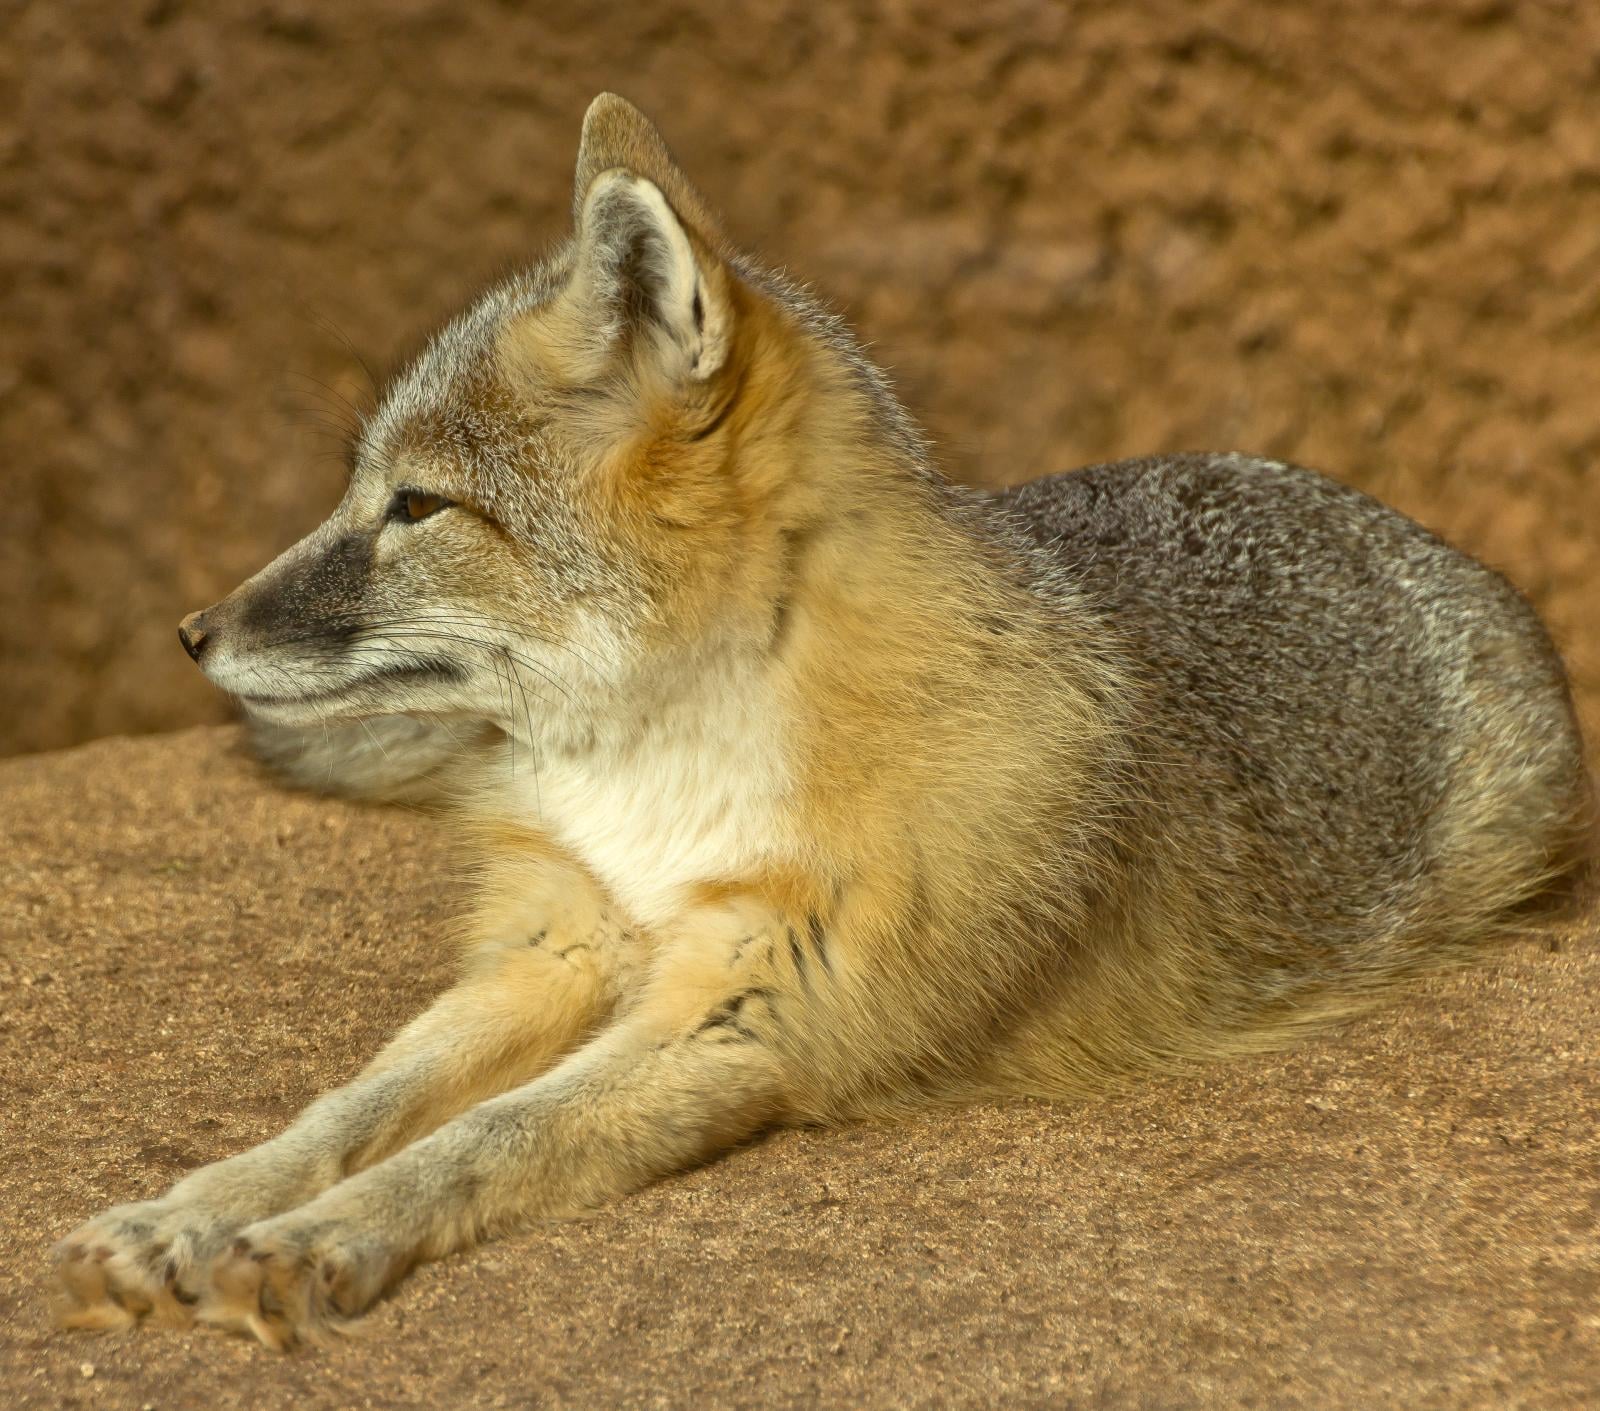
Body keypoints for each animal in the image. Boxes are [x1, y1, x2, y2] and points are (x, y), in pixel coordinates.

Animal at [53, 93, 1592, 1350]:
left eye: (416, 507)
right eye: (364, 491)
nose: (191, 631)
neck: (656, 779)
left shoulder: (750, 1010)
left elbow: (484, 1135)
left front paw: (315, 1236)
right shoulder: (556, 942)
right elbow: (357, 1103)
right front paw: (196, 1204)